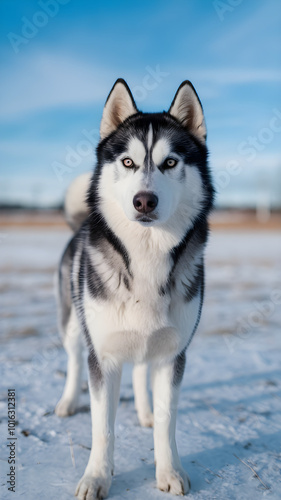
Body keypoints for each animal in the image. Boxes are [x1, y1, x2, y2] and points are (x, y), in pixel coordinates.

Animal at [56, 80, 214, 498]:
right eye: (127, 162)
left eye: (170, 163)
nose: (144, 200)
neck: (145, 256)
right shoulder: (103, 356)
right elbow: (103, 428)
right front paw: (96, 477)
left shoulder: (174, 354)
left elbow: (168, 421)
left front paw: (169, 472)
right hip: (73, 323)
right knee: (73, 359)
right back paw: (66, 402)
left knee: (142, 372)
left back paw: (144, 412)